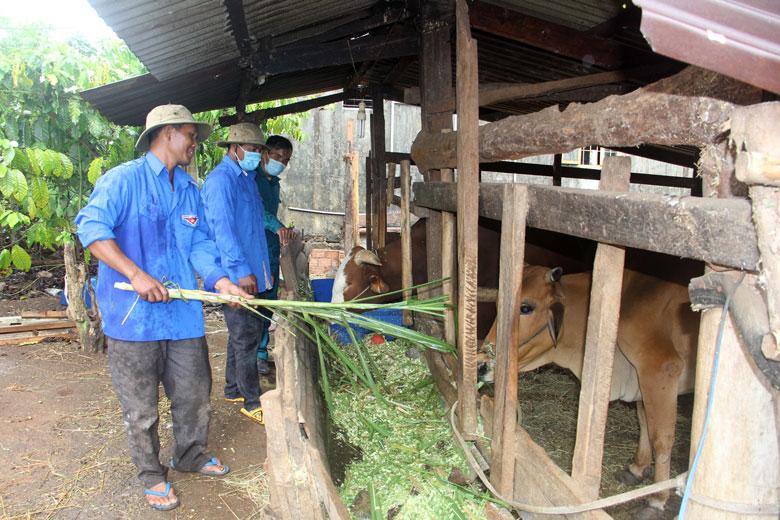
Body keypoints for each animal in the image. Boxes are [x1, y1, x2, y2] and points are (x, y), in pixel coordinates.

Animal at [478, 266, 696, 516]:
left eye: (525, 308)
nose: (481, 365)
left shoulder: (660, 370)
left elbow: (661, 438)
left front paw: (657, 499)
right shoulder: (642, 380)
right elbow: (644, 423)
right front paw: (637, 468)